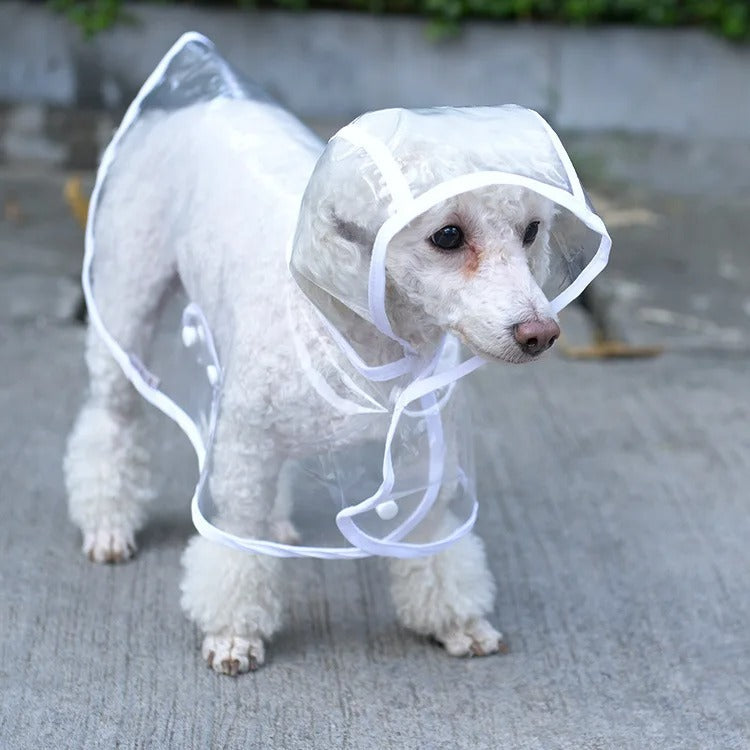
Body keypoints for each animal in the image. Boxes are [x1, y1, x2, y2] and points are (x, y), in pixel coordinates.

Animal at [64, 94, 560, 676]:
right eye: (448, 236)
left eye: (531, 231)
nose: (540, 334)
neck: (347, 325)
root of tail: (207, 99)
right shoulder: (245, 444)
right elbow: (238, 536)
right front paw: (234, 635)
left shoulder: (423, 451)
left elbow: (430, 537)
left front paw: (457, 623)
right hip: (127, 297)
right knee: (112, 416)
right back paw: (108, 524)